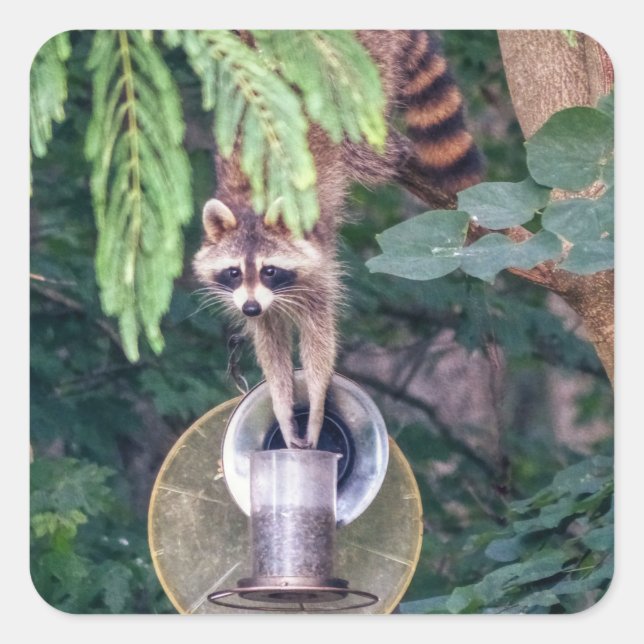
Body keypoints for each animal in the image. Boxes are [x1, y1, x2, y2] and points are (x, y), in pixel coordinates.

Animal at [193, 30, 482, 449]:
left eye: (269, 270)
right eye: (233, 272)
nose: (249, 307)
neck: (251, 208)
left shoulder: (318, 258)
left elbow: (320, 329)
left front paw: (315, 403)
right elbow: (271, 338)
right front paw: (281, 403)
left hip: (363, 71)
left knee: (367, 146)